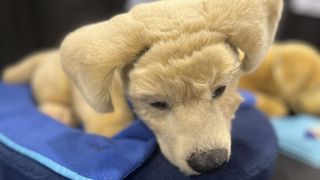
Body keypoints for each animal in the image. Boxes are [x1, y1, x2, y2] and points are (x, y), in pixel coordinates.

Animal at [2, 0, 282, 175]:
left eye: (220, 90)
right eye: (157, 104)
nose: (210, 162)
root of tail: (46, 54)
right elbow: (107, 115)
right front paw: (114, 131)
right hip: (53, 80)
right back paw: (56, 112)